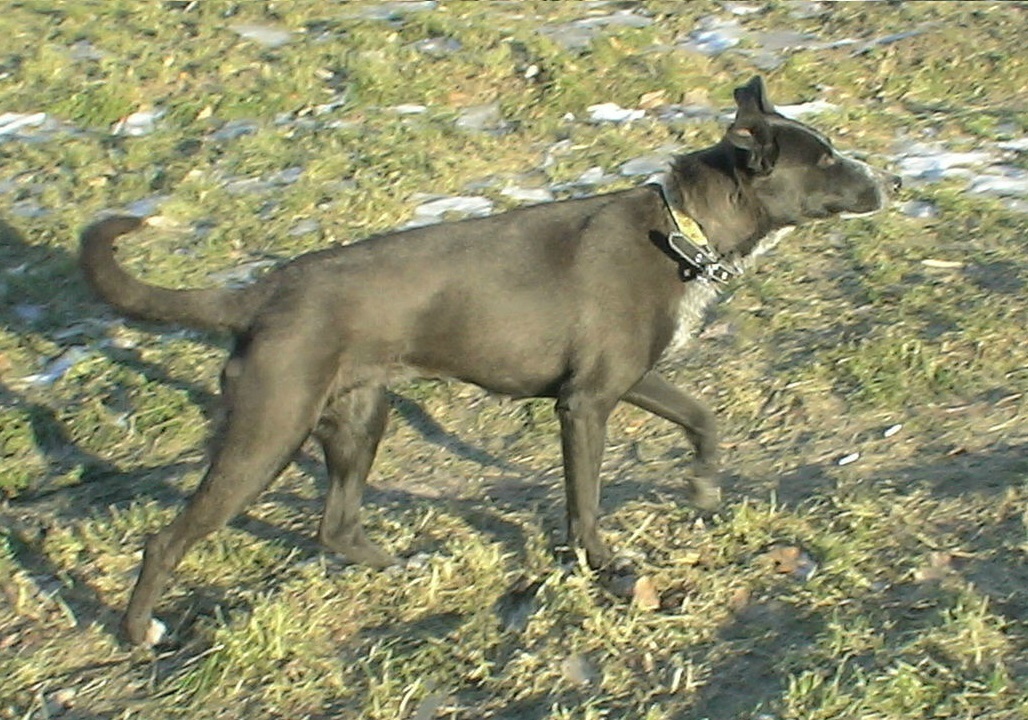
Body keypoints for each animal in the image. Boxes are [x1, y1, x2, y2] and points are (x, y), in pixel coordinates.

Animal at [80, 76, 900, 645]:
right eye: (826, 160)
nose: (889, 181)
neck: (683, 229)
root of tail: (258, 295)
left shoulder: (625, 379)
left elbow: (703, 418)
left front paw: (701, 488)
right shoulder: (585, 405)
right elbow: (584, 505)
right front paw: (607, 572)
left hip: (359, 420)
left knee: (335, 527)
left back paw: (399, 566)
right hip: (268, 433)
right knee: (166, 539)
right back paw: (138, 632)